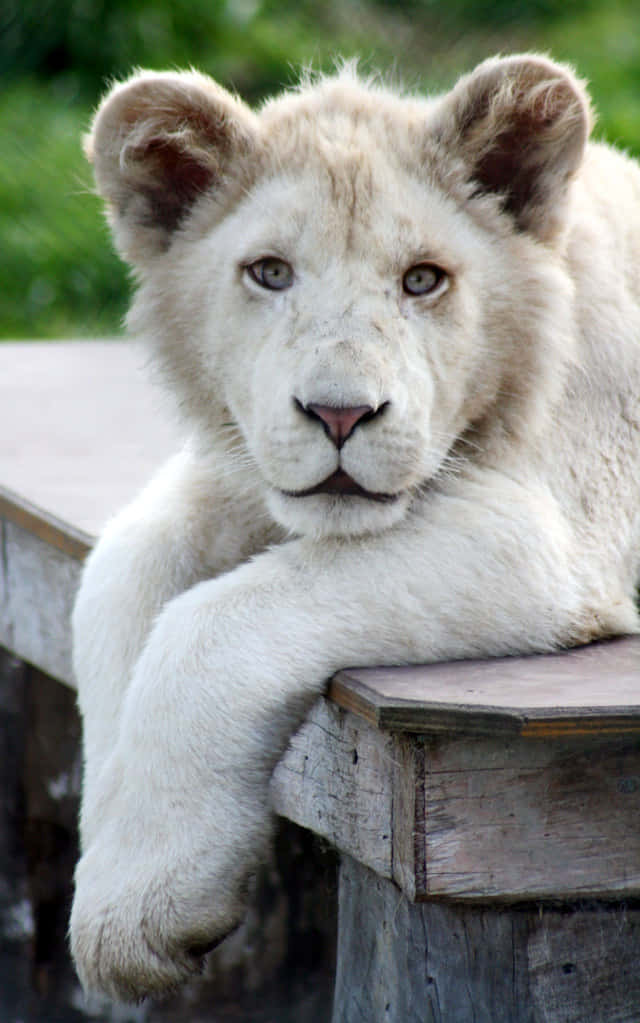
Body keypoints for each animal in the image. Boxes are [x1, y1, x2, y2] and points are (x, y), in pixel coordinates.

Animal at [70, 54, 640, 1002]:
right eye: (269, 273)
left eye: (422, 279)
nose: (340, 415)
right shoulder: (230, 473)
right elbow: (117, 579)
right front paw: (118, 887)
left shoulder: (549, 535)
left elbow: (208, 625)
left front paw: (146, 910)